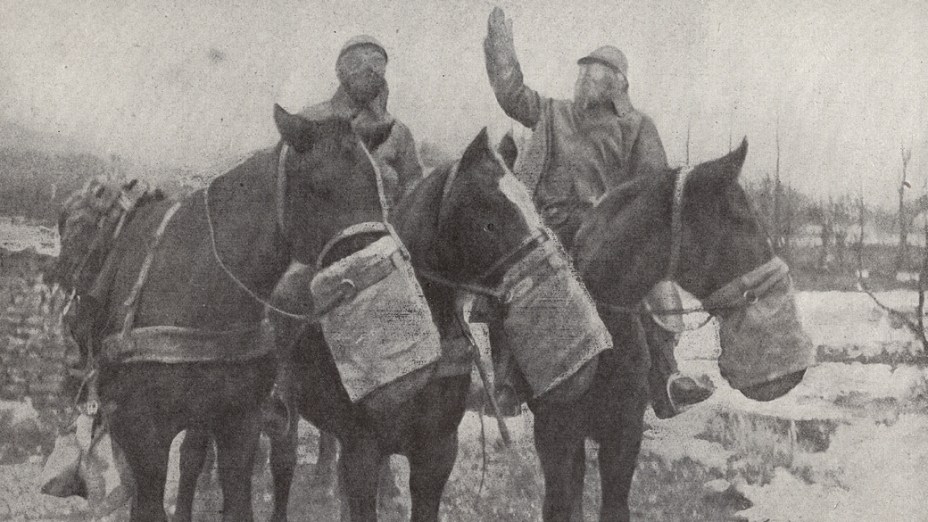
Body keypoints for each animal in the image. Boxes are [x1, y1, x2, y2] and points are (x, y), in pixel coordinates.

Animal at [81, 103, 394, 516]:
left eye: (379, 188)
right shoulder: (143, 436)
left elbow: (238, 500)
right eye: (319, 188)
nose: (375, 265)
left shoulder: (239, 425)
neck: (198, 289)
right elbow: (148, 501)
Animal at [516, 139, 812, 520]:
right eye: (743, 220)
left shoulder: (625, 435)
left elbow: (614, 507)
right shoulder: (555, 437)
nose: (793, 373)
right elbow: (560, 505)